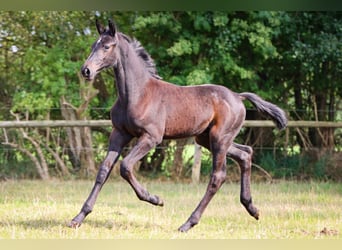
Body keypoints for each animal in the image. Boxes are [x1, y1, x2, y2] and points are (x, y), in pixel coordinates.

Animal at [68, 19, 288, 232]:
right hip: (207, 138)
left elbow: (125, 166)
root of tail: (238, 96)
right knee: (245, 153)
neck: (137, 94)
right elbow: (103, 171)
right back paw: (252, 208)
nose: (86, 71)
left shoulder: (151, 137)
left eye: (106, 46)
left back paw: (188, 223)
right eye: (93, 45)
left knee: (218, 176)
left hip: (219, 138)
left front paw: (155, 199)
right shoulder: (119, 133)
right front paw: (78, 218)